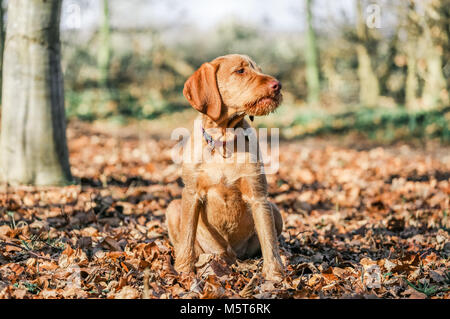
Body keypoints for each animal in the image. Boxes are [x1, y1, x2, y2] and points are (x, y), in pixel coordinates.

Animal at [167, 53, 284, 282]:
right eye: (240, 71)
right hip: (174, 208)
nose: (278, 85)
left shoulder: (259, 197)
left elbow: (269, 242)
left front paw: (275, 276)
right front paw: (184, 271)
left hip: (274, 210)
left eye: (259, 70)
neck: (224, 141)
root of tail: (231, 256)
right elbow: (187, 238)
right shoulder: (191, 193)